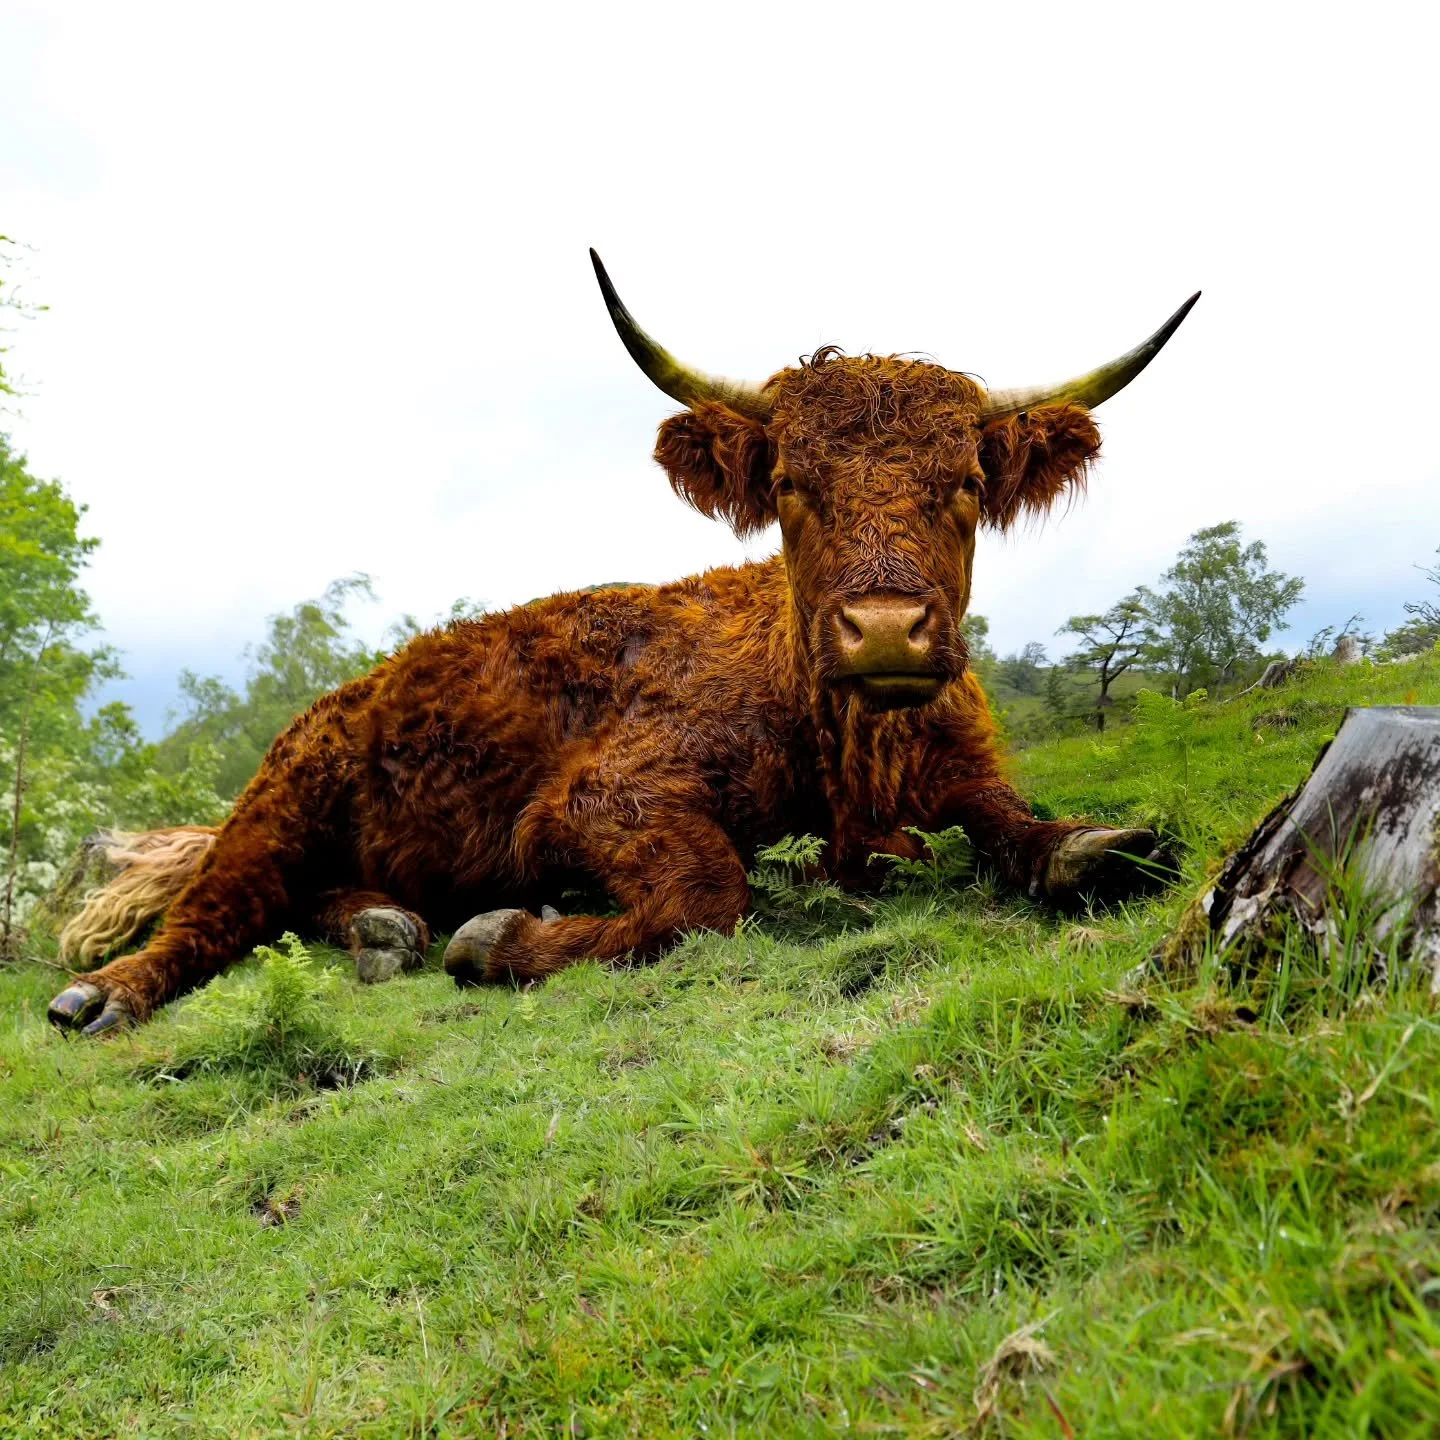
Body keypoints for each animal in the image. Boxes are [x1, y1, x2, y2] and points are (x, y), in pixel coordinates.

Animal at [48, 253, 1198, 1035]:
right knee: (215, 909)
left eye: (962, 481)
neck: (854, 756)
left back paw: (384, 929)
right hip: (278, 803)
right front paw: (503, 937)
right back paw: (102, 996)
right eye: (791, 483)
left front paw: (1093, 845)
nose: (883, 630)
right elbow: (707, 894)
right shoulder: (598, 796)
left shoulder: (965, 775)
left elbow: (1054, 834)